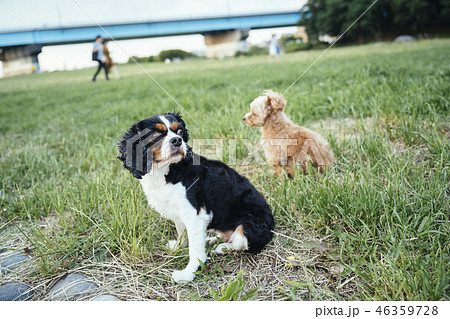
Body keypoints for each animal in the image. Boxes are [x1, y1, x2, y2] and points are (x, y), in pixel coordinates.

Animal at [118, 114, 274, 284]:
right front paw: (178, 246)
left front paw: (188, 273)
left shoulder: (194, 215)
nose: (177, 140)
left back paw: (223, 247)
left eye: (179, 131)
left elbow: (195, 249)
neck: (167, 170)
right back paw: (211, 240)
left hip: (247, 227)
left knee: (240, 243)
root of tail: (272, 227)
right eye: (156, 135)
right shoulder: (179, 213)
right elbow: (182, 233)